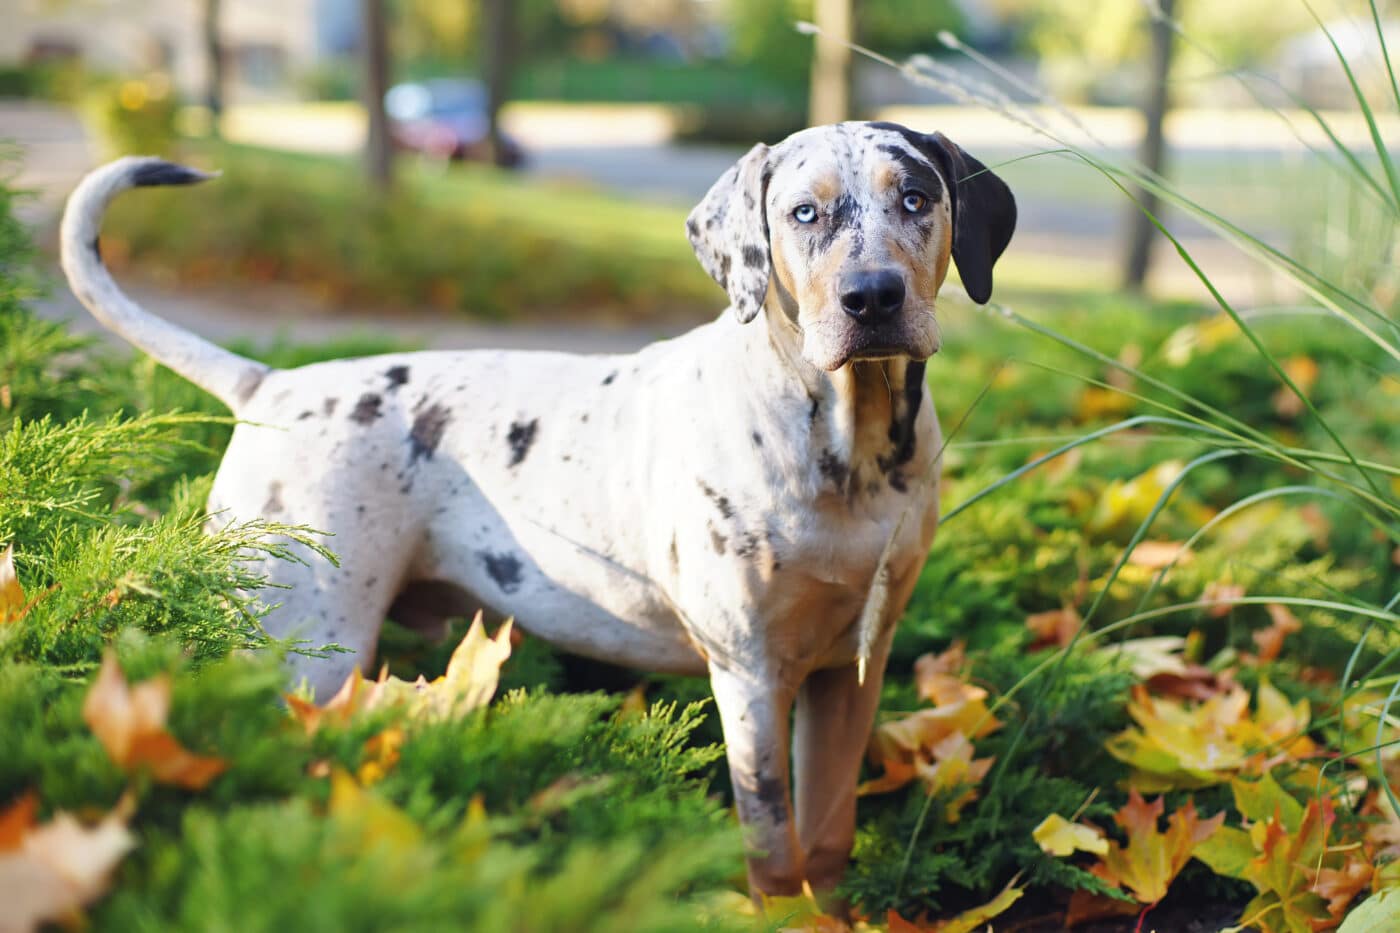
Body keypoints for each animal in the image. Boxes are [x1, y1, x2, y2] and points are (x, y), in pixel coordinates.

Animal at [60, 123, 1013, 896]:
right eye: (805, 214)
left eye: (916, 197)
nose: (873, 296)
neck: (851, 450)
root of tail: (270, 385)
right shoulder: (750, 675)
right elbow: (774, 852)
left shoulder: (850, 667)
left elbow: (827, 838)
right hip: (301, 643)